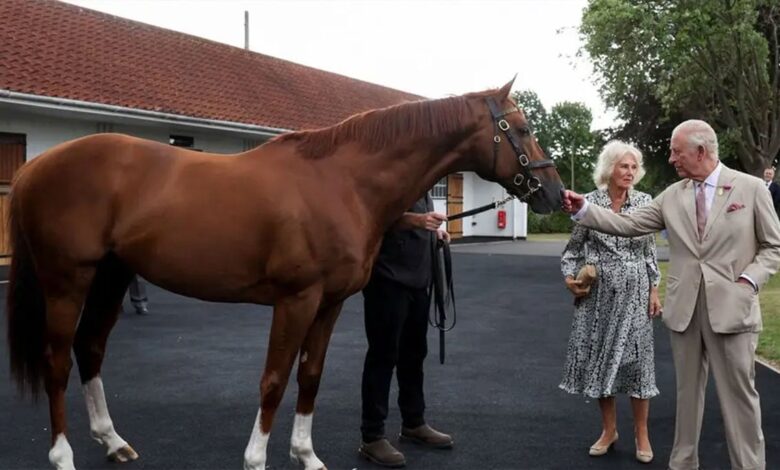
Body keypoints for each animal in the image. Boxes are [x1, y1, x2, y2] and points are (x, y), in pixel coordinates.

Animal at [6, 78, 563, 470]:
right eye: (522, 129)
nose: (555, 195)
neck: (342, 182)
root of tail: (36, 167)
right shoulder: (296, 300)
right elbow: (274, 379)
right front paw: (256, 459)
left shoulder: (330, 303)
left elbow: (310, 376)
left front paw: (306, 455)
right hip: (68, 281)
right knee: (58, 361)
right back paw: (63, 456)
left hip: (111, 277)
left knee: (90, 350)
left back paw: (114, 441)